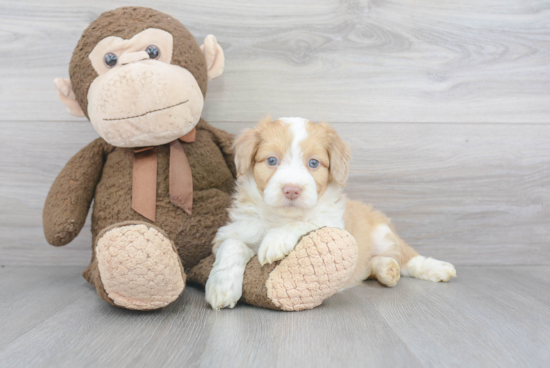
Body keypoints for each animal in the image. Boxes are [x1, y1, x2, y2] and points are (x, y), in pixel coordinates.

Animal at [206, 116, 458, 310]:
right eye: (271, 160)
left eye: (314, 163)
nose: (292, 190)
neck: (281, 217)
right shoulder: (232, 231)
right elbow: (232, 245)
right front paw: (221, 287)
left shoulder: (337, 226)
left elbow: (308, 222)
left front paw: (276, 240)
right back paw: (387, 270)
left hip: (383, 233)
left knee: (408, 257)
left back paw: (434, 268)